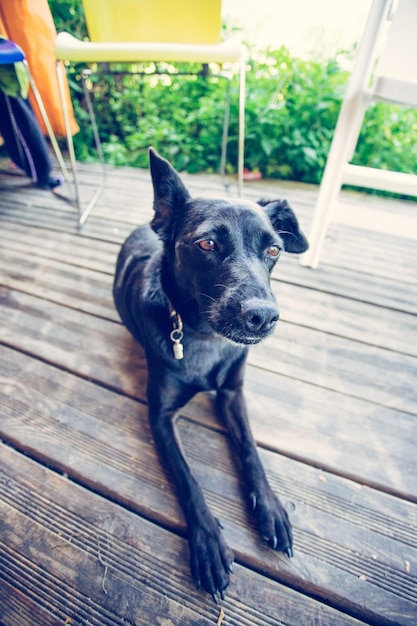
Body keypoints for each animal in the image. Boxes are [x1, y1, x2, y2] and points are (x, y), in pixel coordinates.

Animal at [112, 149, 308, 604]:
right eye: (207, 244)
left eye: (274, 249)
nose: (263, 317)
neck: (204, 338)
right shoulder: (160, 417)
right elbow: (188, 480)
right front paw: (208, 543)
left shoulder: (233, 394)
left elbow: (250, 450)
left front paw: (270, 508)